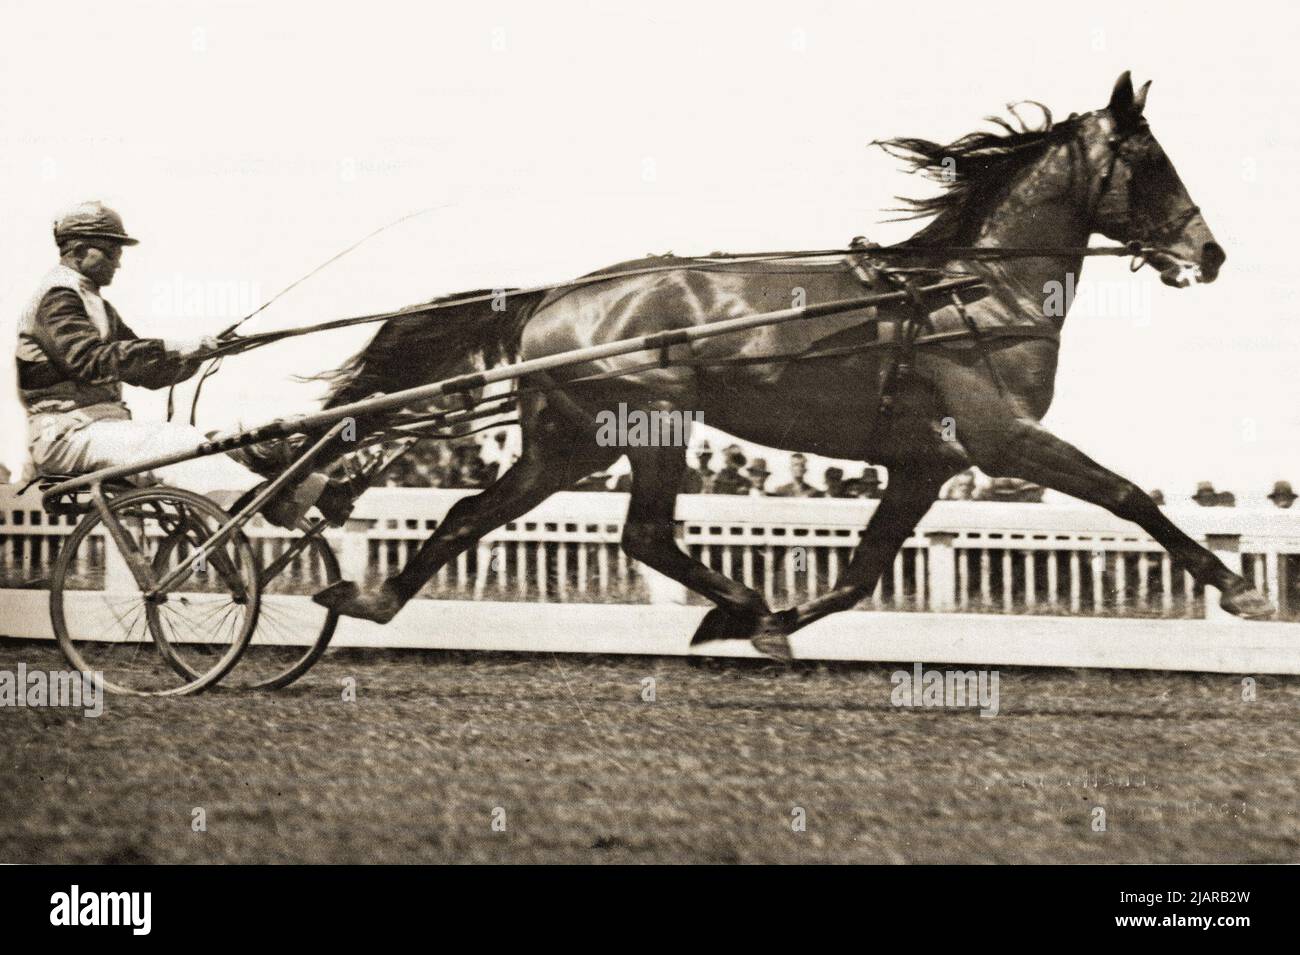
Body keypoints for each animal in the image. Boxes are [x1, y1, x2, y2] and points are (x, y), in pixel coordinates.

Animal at [292, 70, 1268, 660]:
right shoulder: (1002, 438)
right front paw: (1240, 591)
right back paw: (746, 604)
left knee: (472, 512)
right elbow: (1127, 494)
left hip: (571, 438)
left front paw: (775, 621)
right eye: (1150, 160)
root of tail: (556, 294)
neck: (976, 290)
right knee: (643, 533)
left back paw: (373, 601)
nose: (1211, 253)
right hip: (655, 417)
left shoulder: (924, 461)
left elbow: (863, 569)